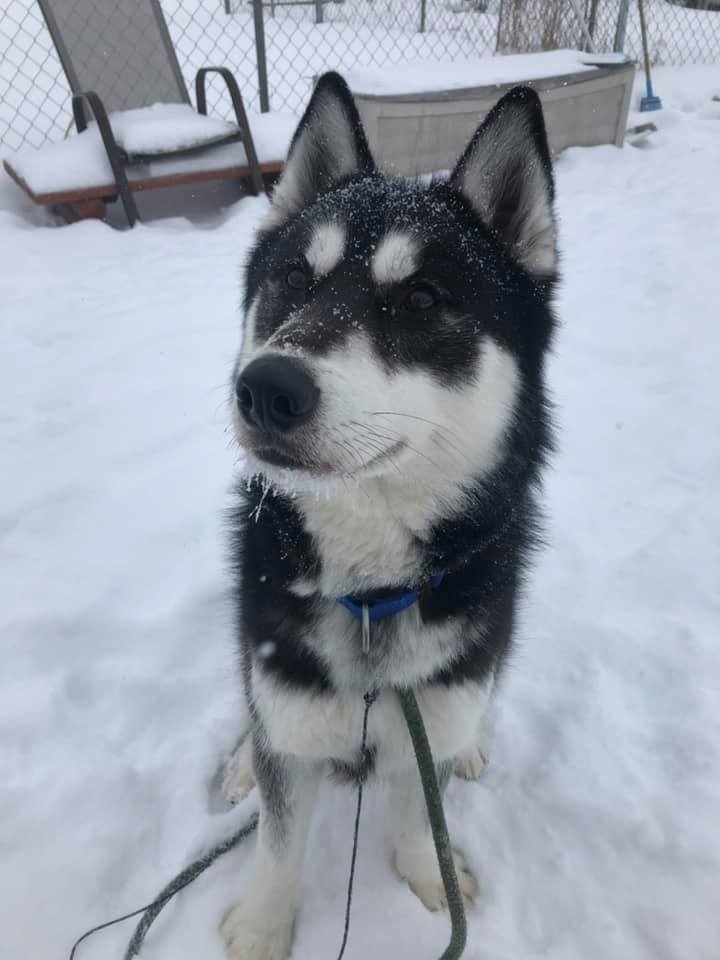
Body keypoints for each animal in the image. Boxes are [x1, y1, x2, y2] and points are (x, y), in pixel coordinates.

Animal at [222, 71, 560, 956]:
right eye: (293, 281)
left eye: (422, 297)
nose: (265, 389)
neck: (371, 596)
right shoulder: (288, 707)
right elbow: (278, 831)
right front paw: (263, 925)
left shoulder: (430, 711)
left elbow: (420, 807)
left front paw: (425, 878)